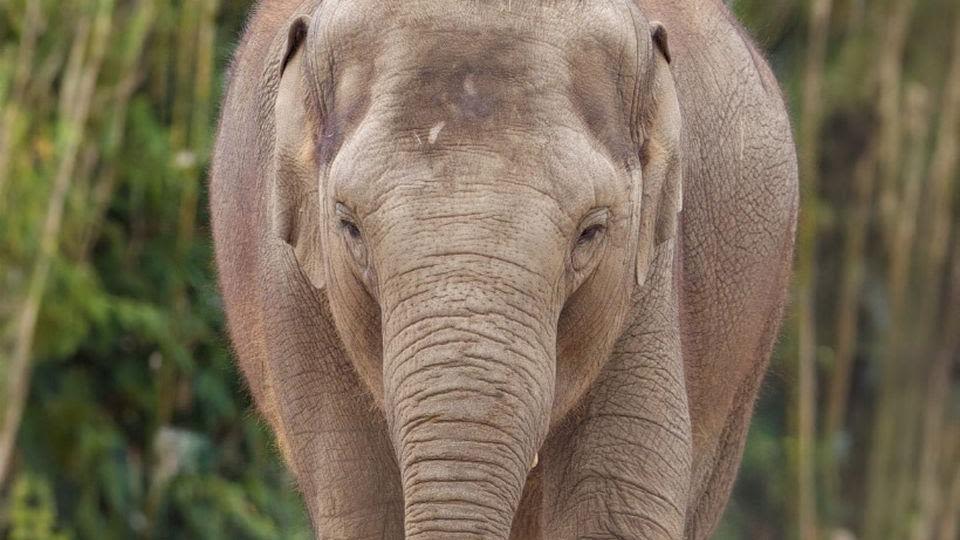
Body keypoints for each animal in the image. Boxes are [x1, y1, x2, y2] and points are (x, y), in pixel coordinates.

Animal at [212, 1, 804, 536]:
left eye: (591, 231)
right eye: (348, 225)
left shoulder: (647, 278)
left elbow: (611, 509)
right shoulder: (291, 289)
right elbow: (363, 508)